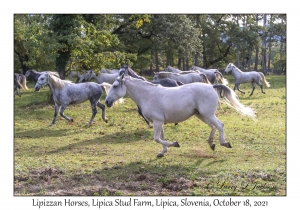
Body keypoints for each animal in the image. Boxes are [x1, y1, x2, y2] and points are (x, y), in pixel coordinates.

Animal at [105, 74, 255, 157]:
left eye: (115, 85)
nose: (107, 101)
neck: (148, 95)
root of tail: (211, 87)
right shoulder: (159, 122)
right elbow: (161, 137)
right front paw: (162, 152)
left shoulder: (157, 122)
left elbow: (157, 138)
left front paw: (175, 144)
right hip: (202, 115)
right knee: (214, 127)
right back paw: (211, 143)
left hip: (207, 114)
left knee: (220, 125)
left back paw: (224, 143)